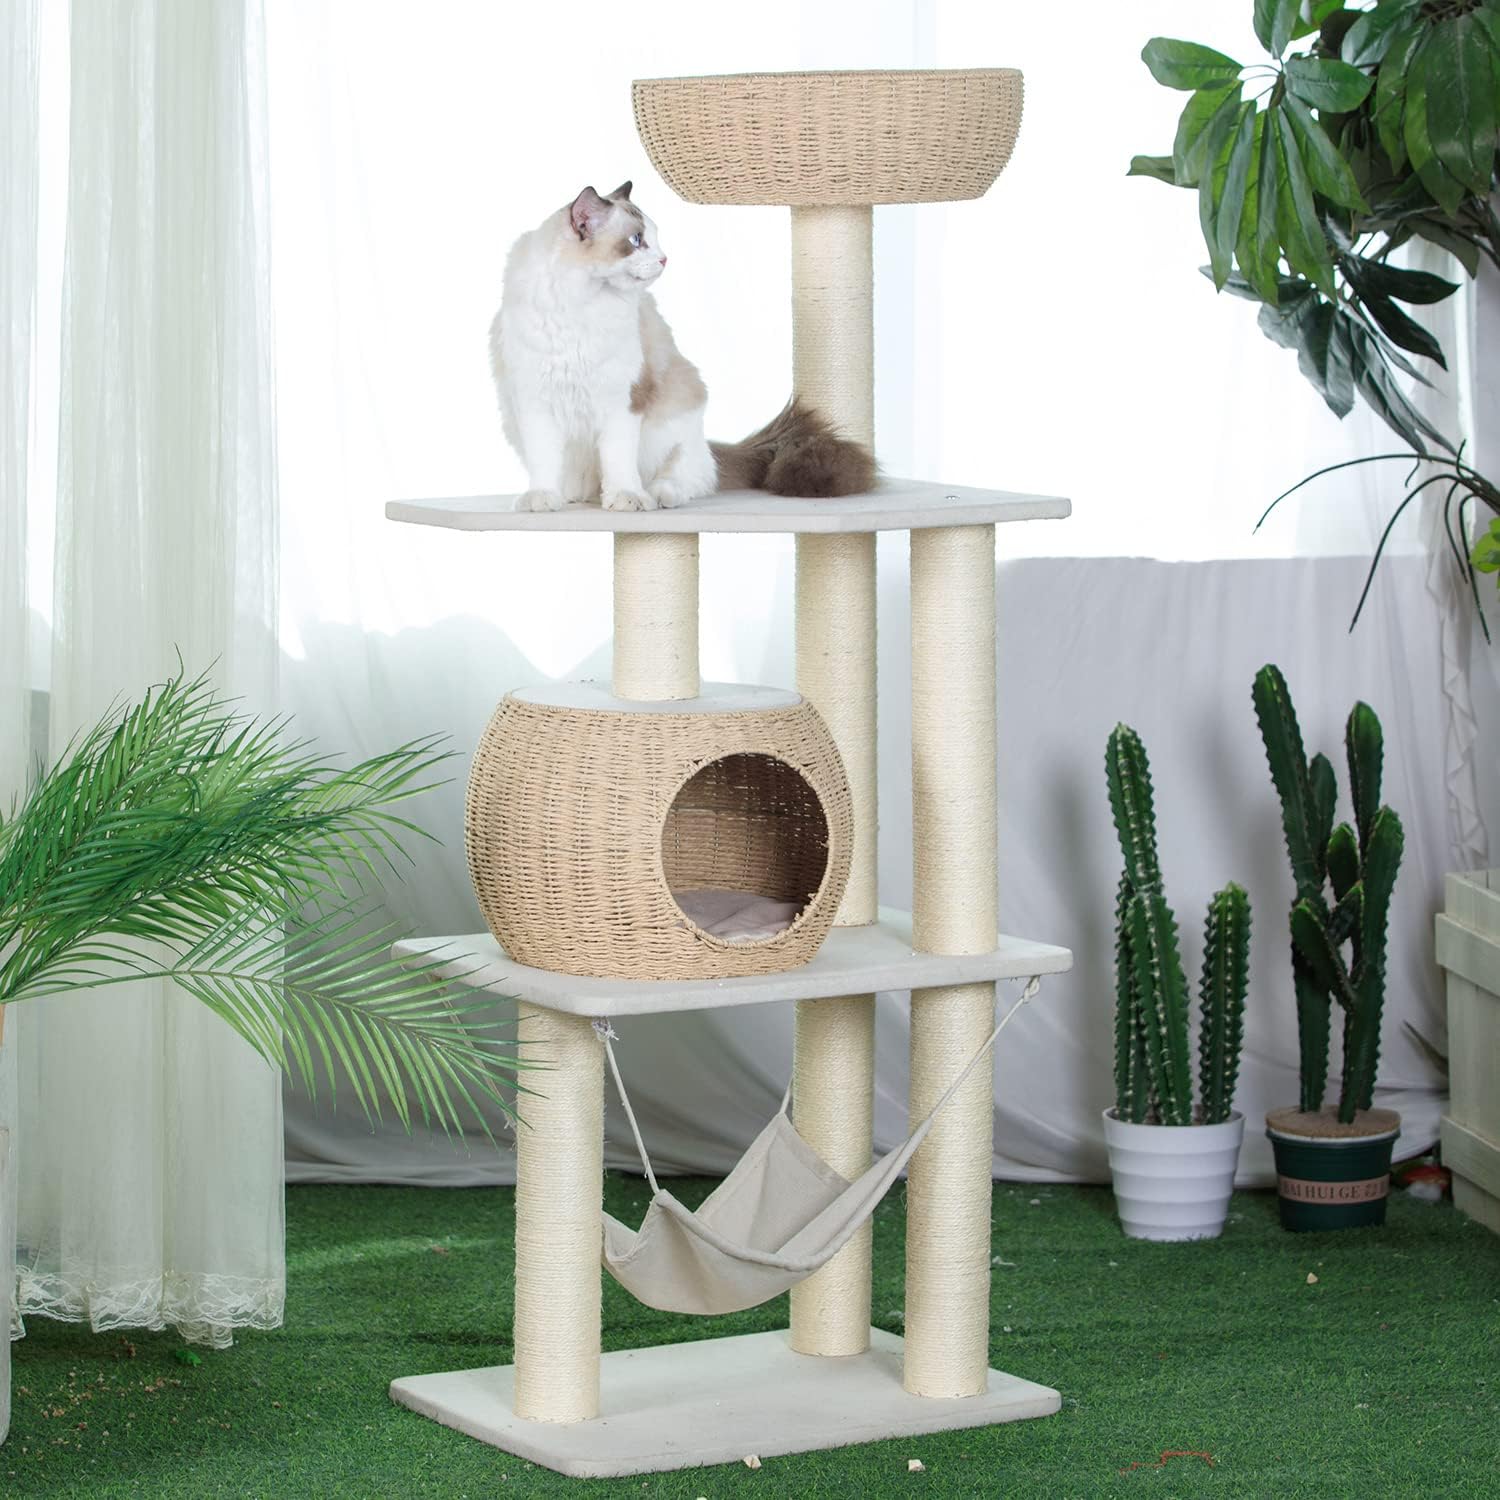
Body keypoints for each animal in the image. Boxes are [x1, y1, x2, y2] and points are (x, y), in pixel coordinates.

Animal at [489, 183, 875, 512]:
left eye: (654, 239)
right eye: (636, 240)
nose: (664, 259)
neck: (580, 304)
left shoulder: (623, 400)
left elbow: (618, 460)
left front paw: (626, 499)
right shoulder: (534, 400)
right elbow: (544, 461)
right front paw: (542, 498)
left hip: (676, 430)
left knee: (688, 479)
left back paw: (656, 496)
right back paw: (575, 496)